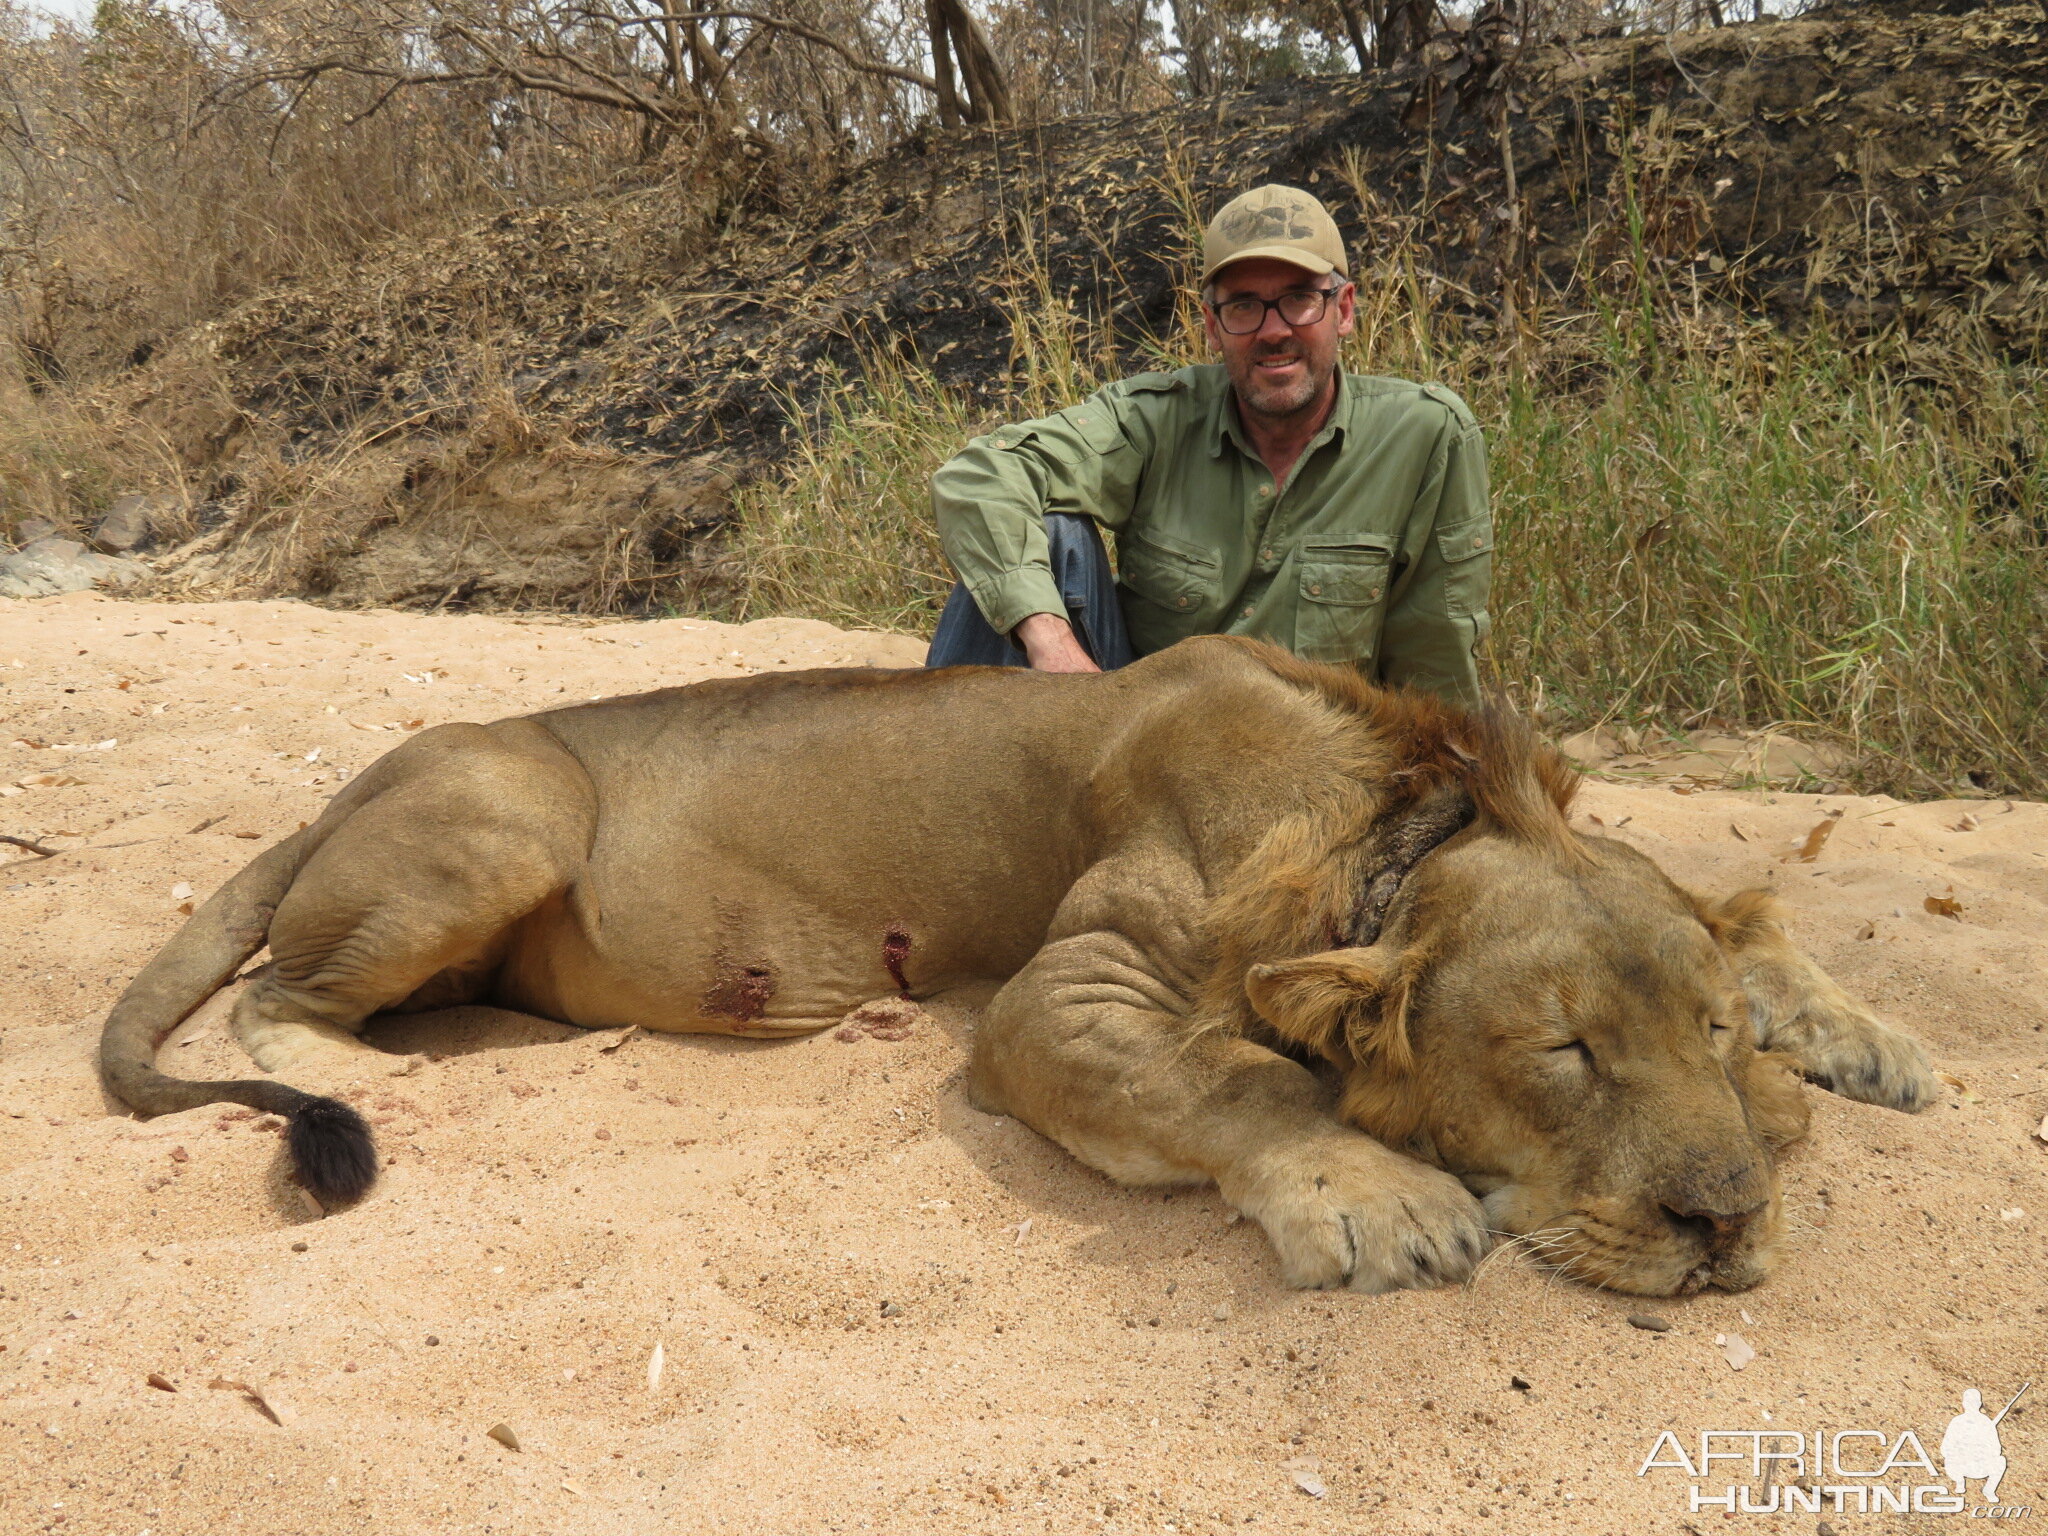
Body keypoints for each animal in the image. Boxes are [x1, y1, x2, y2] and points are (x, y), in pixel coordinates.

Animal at [99, 638, 1933, 1302]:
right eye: (1563, 1055)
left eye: (1707, 1037)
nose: (1725, 1225)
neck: (1399, 808)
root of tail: (343, 786)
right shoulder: (1073, 990)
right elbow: (1230, 1078)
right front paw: (1374, 1199)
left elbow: (1742, 916)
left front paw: (1866, 1037)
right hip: (507, 813)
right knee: (279, 1002)